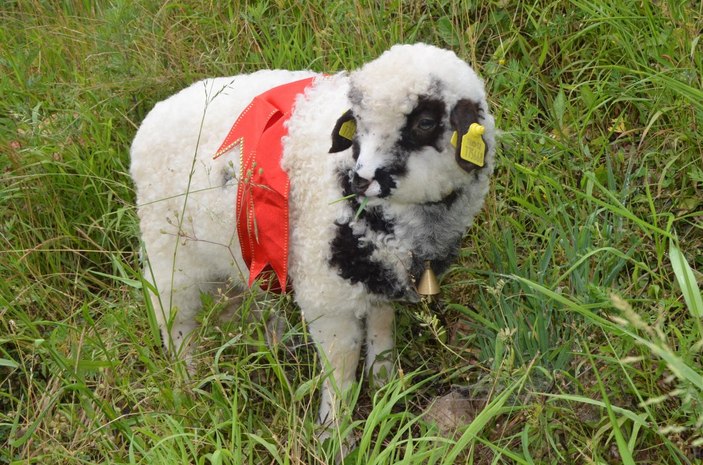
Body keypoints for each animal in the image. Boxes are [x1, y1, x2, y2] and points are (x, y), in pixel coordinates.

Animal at [131, 43, 496, 432]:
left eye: (425, 122)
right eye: (358, 123)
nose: (361, 179)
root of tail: (152, 118)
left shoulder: (377, 274)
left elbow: (382, 330)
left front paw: (384, 388)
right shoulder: (327, 295)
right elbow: (341, 364)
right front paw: (333, 429)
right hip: (169, 251)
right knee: (174, 319)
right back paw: (188, 381)